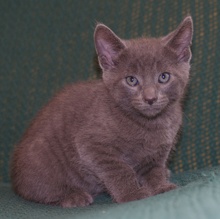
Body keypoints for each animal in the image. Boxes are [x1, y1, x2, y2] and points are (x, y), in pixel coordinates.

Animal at [10, 16, 192, 207]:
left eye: (164, 77)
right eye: (131, 80)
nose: (150, 98)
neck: (150, 123)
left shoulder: (157, 153)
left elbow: (154, 171)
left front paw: (161, 187)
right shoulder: (92, 146)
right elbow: (119, 170)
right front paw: (132, 194)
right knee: (35, 190)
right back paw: (73, 196)